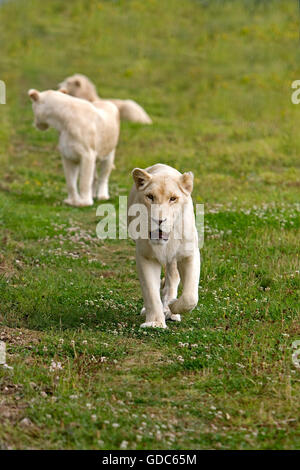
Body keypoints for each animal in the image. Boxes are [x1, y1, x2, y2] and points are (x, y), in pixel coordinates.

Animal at [127, 163, 200, 328]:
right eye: (150, 197)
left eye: (173, 199)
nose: (158, 220)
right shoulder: (146, 256)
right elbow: (150, 291)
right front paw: (155, 323)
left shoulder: (189, 254)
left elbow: (190, 297)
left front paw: (172, 306)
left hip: (173, 259)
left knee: (172, 279)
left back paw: (170, 310)